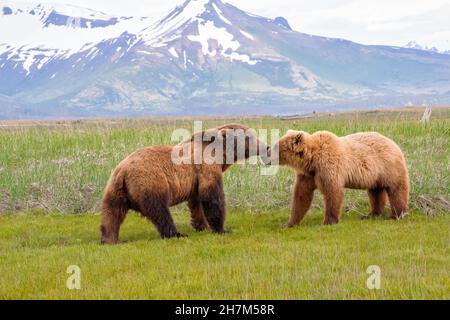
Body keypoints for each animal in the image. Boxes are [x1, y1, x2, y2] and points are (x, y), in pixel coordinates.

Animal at [100, 124, 268, 244]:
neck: (220, 154)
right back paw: (176, 234)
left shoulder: (195, 179)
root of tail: (123, 171)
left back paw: (110, 239)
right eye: (250, 137)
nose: (265, 146)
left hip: (115, 189)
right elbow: (211, 197)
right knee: (159, 210)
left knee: (112, 213)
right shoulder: (206, 166)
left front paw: (202, 225)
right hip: (150, 181)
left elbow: (196, 202)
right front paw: (222, 229)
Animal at [268, 129, 410, 225]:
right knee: (375, 192)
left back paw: (396, 215)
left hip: (388, 167)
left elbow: (333, 192)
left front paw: (328, 221)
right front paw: (290, 222)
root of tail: (395, 144)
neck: (312, 159)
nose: (267, 152)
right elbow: (301, 195)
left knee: (396, 189)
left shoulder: (328, 167)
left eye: (276, 147)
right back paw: (372, 214)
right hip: (375, 175)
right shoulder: (309, 174)